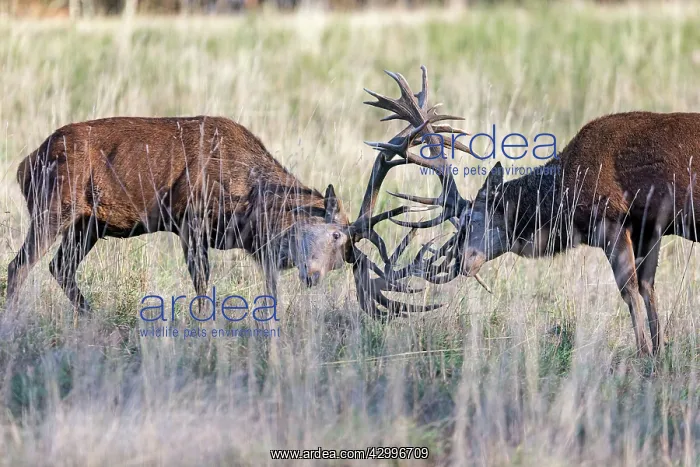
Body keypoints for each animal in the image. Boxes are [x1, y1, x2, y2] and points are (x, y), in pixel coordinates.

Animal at [385, 105, 700, 357]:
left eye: (470, 219)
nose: (463, 261)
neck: (562, 196)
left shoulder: (611, 219)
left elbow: (629, 290)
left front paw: (644, 353)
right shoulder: (649, 227)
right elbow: (648, 287)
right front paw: (659, 351)